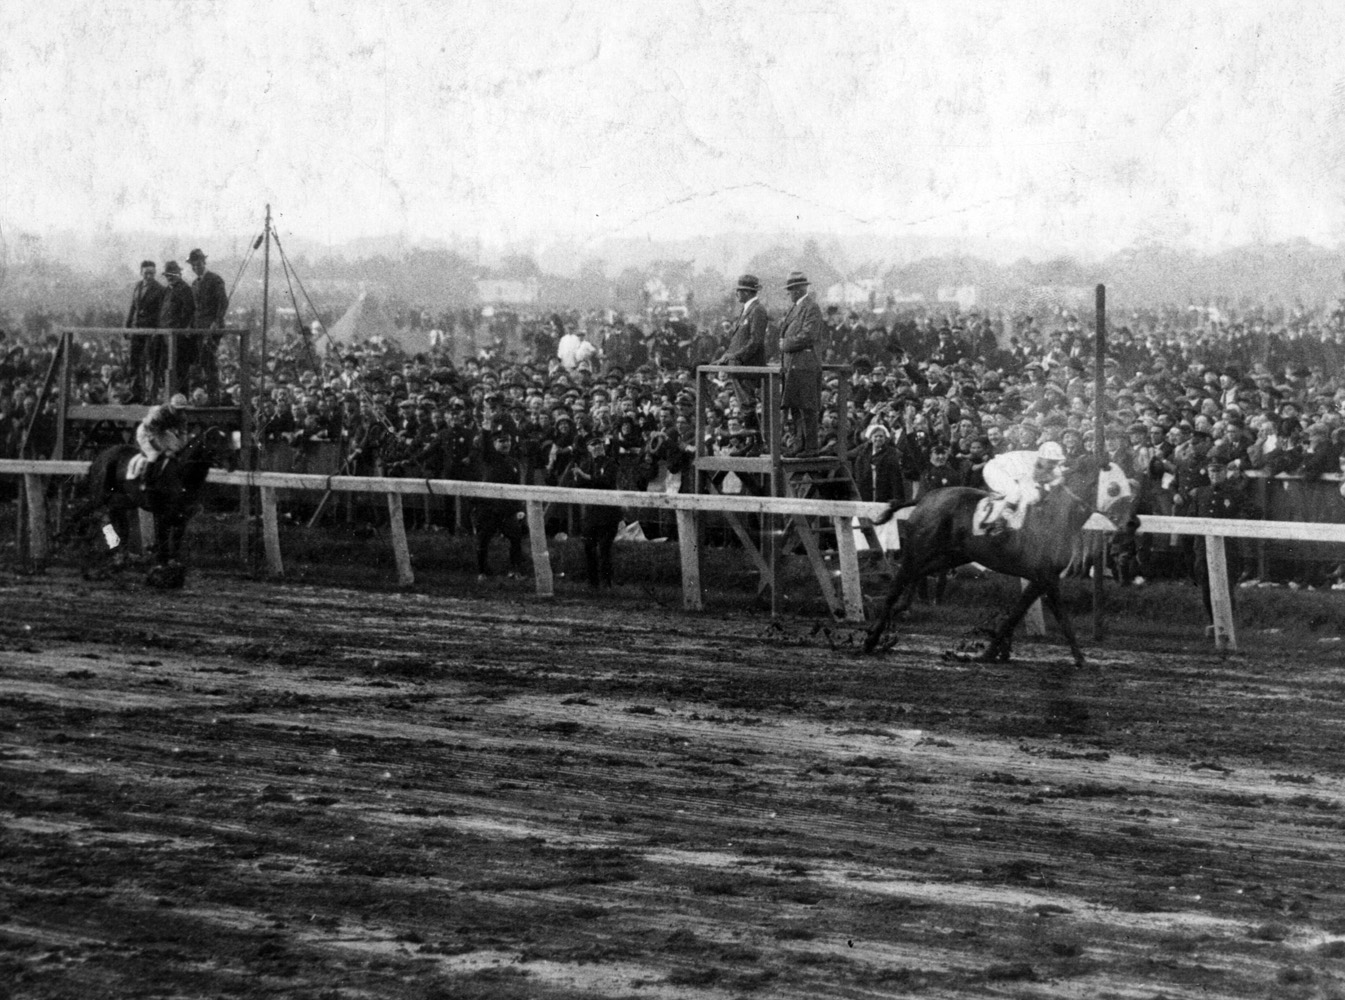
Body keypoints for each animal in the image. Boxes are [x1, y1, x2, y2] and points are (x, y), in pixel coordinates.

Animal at [60, 427, 231, 586]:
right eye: (215, 441)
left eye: (227, 440)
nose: (230, 463)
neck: (181, 476)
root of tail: (99, 457)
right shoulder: (162, 515)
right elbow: (163, 546)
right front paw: (160, 574)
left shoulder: (182, 518)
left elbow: (174, 547)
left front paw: (174, 574)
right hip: (99, 497)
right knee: (79, 516)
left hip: (119, 503)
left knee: (116, 529)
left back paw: (111, 563)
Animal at [860, 460, 1135, 664]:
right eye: (1113, 489)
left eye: (1131, 490)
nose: (1131, 524)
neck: (1055, 516)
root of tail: (928, 497)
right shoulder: (1045, 576)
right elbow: (1036, 615)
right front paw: (988, 652)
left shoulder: (1043, 578)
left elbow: (1030, 613)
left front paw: (1079, 658)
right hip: (919, 549)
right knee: (897, 584)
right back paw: (873, 637)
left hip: (952, 555)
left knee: (917, 575)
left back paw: (900, 610)